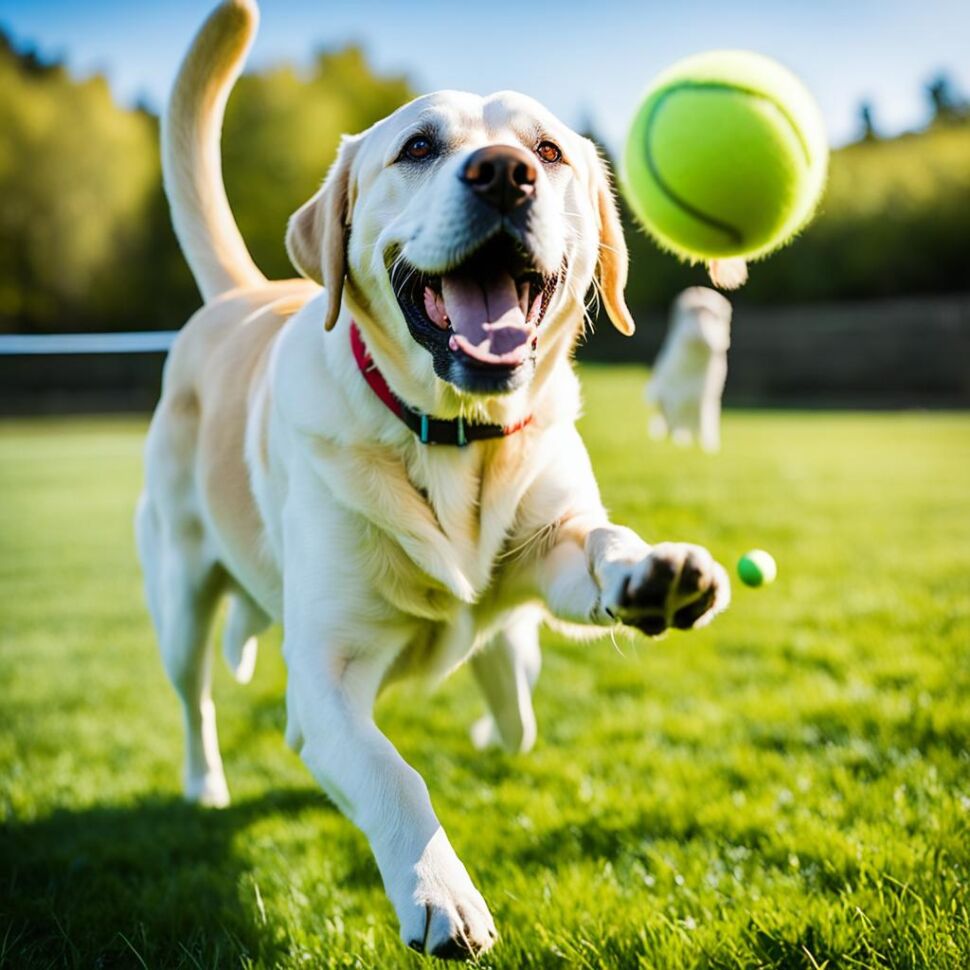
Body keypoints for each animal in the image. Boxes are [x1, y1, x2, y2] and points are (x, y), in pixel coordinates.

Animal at [648, 286, 728, 452]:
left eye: (714, 316)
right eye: (694, 314)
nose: (712, 344)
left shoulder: (705, 398)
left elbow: (706, 422)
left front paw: (709, 447)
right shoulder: (676, 396)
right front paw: (680, 442)